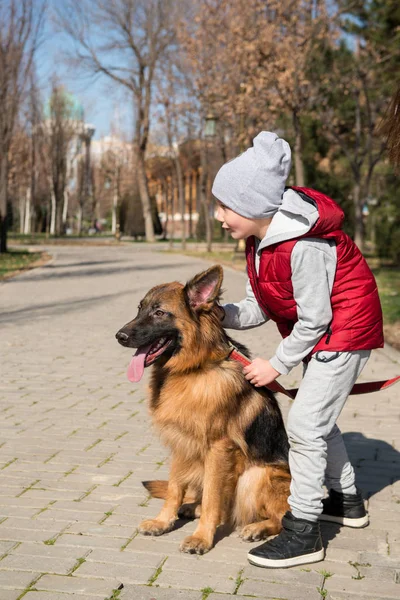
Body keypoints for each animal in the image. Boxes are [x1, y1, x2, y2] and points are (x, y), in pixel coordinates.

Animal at [115, 264, 290, 556]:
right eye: (140, 308)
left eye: (159, 312)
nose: (120, 336)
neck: (193, 369)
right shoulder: (181, 443)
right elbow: (175, 488)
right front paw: (163, 521)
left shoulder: (218, 449)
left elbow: (211, 498)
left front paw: (201, 538)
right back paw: (191, 507)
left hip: (257, 475)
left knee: (281, 517)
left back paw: (257, 527)